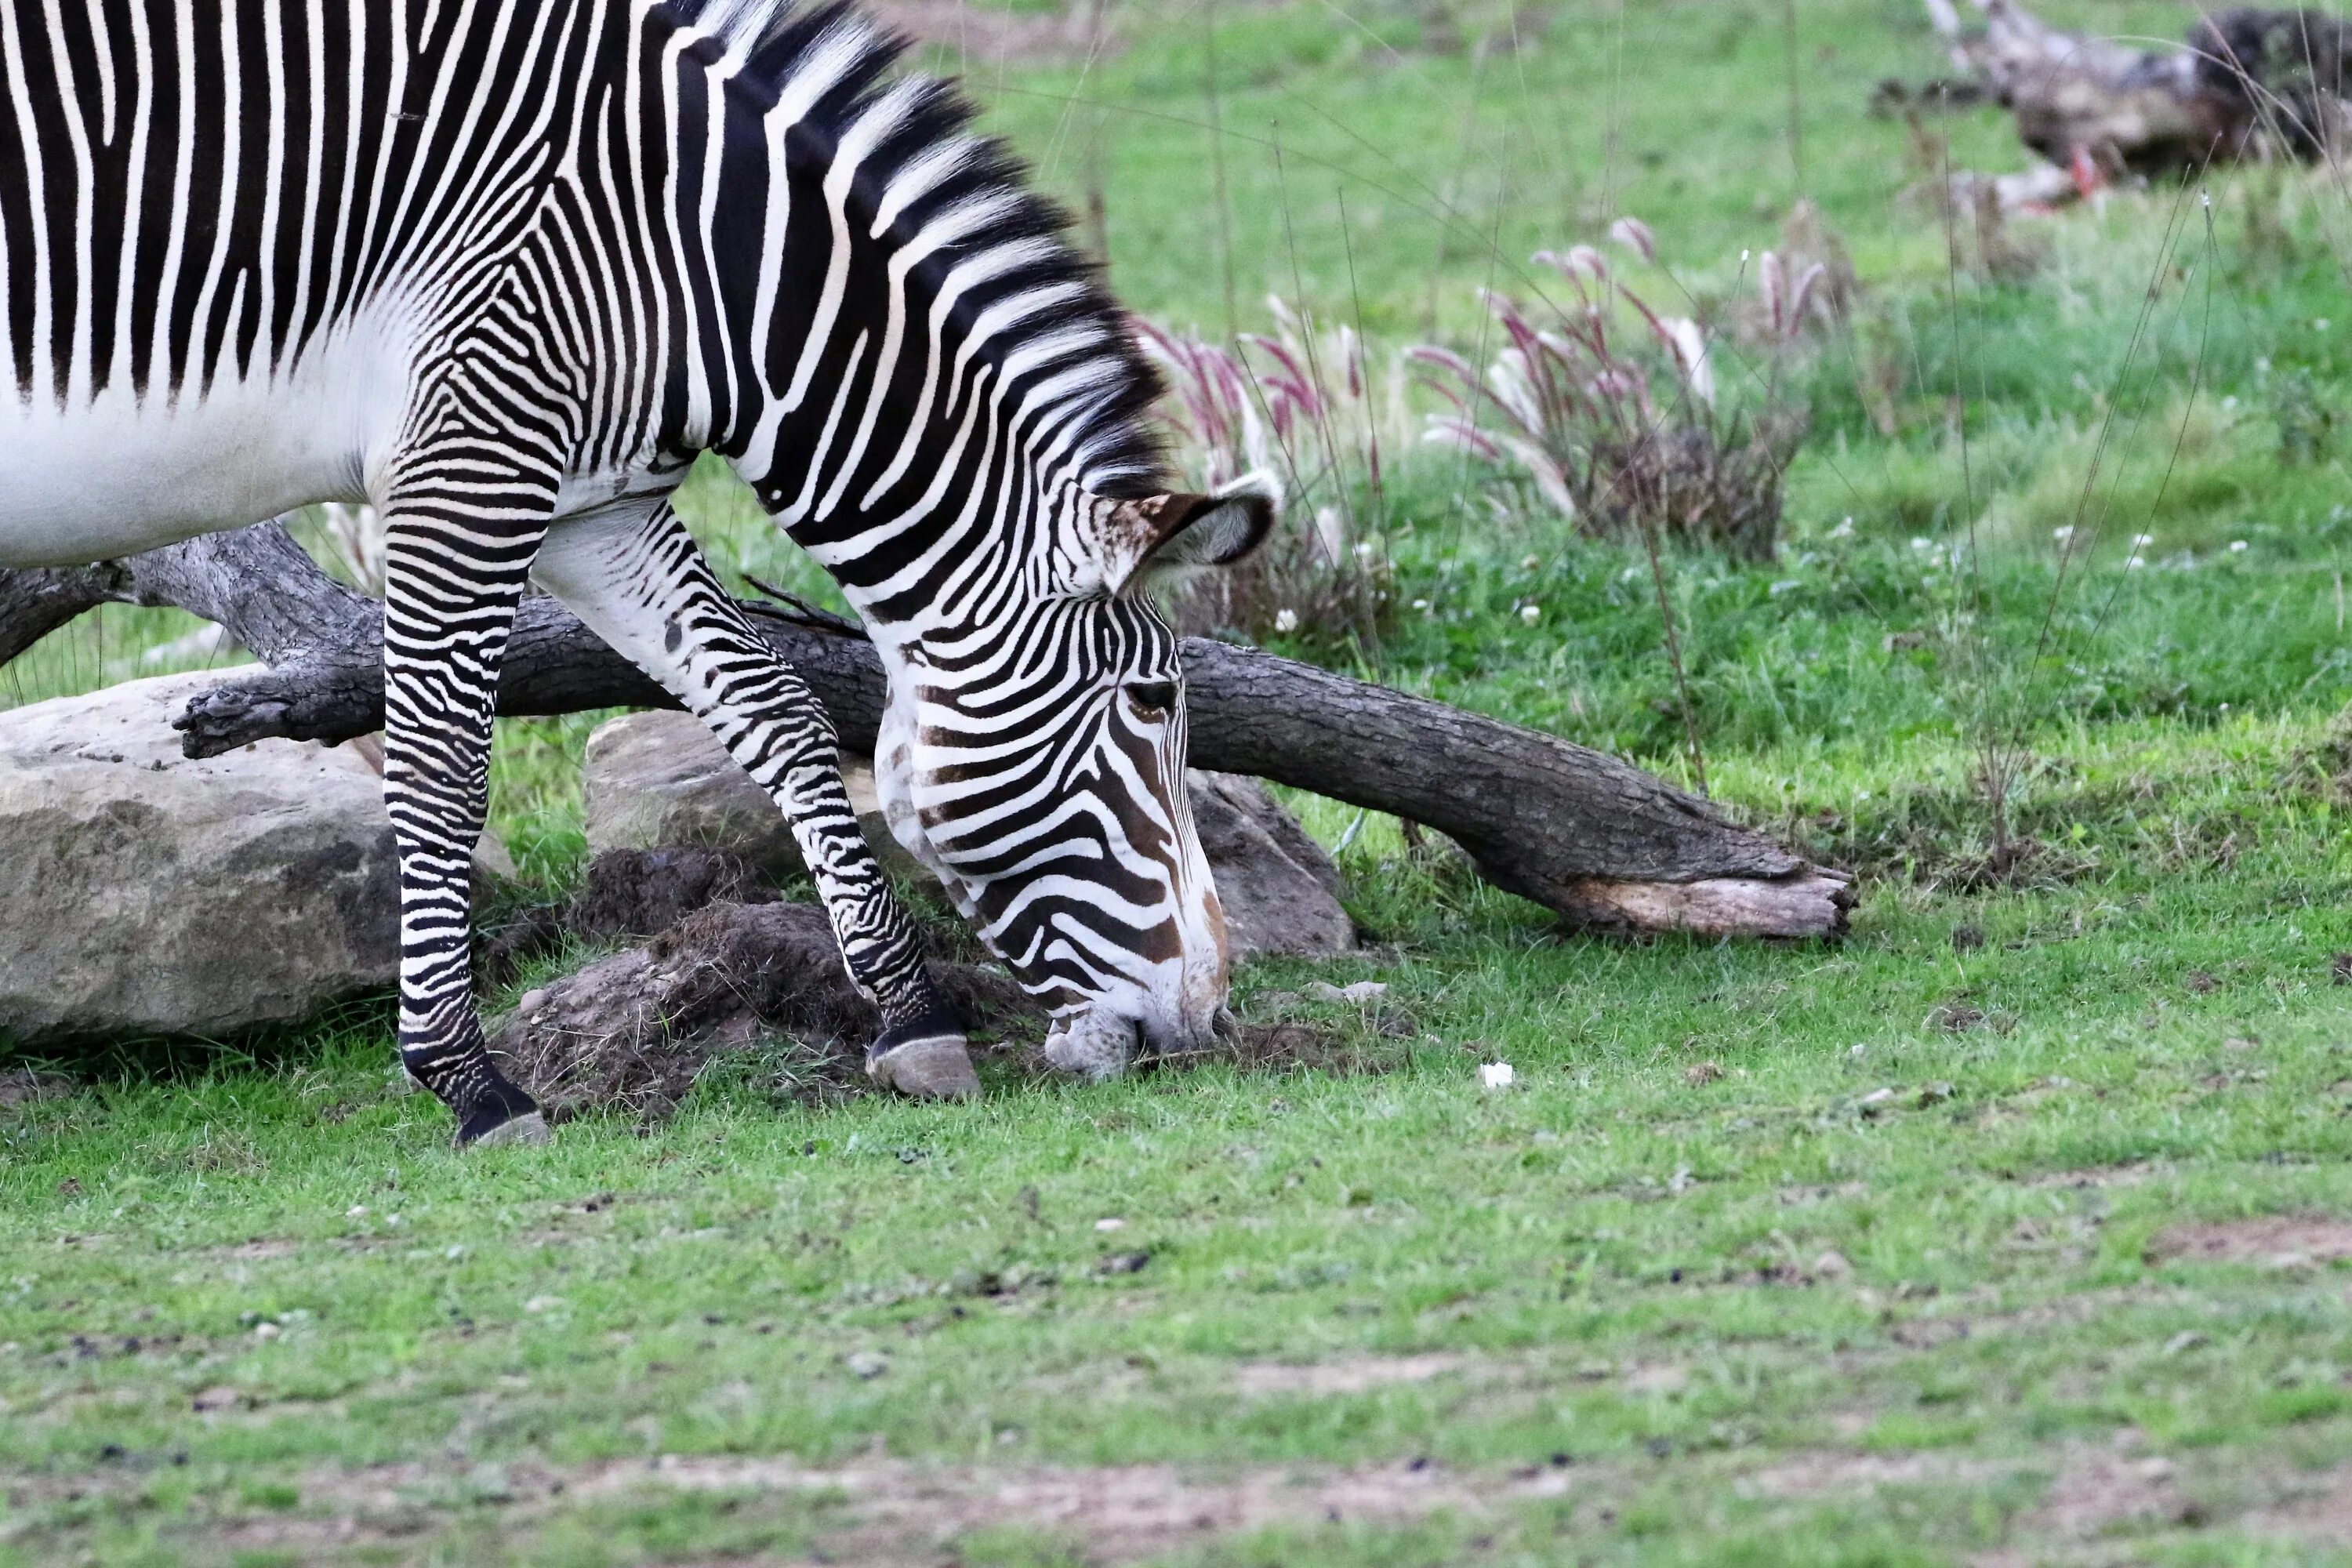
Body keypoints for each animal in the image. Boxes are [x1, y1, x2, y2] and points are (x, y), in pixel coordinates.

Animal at [0, 2, 1279, 1152]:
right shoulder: (468, 451)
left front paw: (911, 1019)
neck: (700, 261)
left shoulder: (591, 503)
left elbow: (779, 710)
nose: (1210, 1020)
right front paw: (469, 1083)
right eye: (1154, 702)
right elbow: (441, 770)